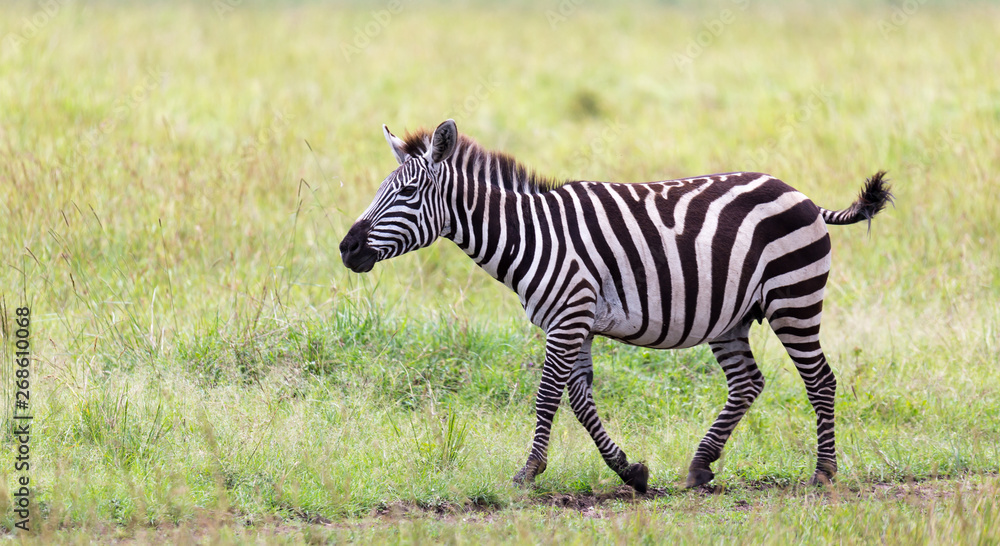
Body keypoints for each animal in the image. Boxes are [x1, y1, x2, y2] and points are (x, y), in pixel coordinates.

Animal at [340, 119, 892, 492]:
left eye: (409, 192)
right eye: (381, 190)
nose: (347, 248)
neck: (530, 235)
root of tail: (801, 194)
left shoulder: (568, 317)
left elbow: (548, 396)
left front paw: (527, 473)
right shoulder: (576, 323)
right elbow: (581, 401)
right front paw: (632, 472)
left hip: (793, 300)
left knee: (820, 381)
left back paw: (824, 472)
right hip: (731, 318)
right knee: (748, 383)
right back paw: (700, 465)